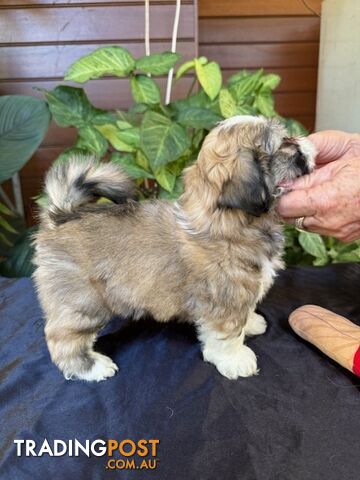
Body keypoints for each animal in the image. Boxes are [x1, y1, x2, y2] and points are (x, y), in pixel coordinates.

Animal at [33, 114, 316, 380]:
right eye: (285, 144)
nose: (303, 142)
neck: (226, 222)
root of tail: (60, 217)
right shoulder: (227, 300)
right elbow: (228, 333)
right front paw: (236, 360)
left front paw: (251, 323)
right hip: (83, 302)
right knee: (63, 338)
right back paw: (91, 367)